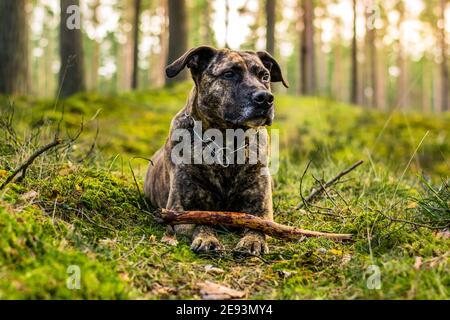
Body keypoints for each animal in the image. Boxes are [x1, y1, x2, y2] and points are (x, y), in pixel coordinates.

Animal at [144, 45, 288, 255]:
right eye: (229, 74)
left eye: (265, 76)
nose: (265, 98)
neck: (227, 141)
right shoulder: (180, 210)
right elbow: (202, 221)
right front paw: (207, 238)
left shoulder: (262, 209)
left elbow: (258, 225)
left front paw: (253, 241)